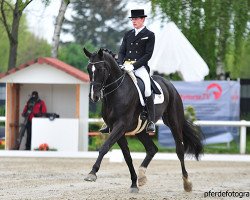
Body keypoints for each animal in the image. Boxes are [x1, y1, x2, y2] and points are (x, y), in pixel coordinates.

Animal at [82, 47, 203, 193]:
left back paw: (187, 183)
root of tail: (169, 84)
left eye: (101, 69)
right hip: (140, 130)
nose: (93, 96)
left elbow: (104, 147)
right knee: (152, 149)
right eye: (89, 69)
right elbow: (127, 156)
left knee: (179, 150)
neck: (117, 92)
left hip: (174, 122)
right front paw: (134, 184)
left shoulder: (120, 125)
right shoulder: (115, 128)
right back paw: (141, 176)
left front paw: (92, 173)